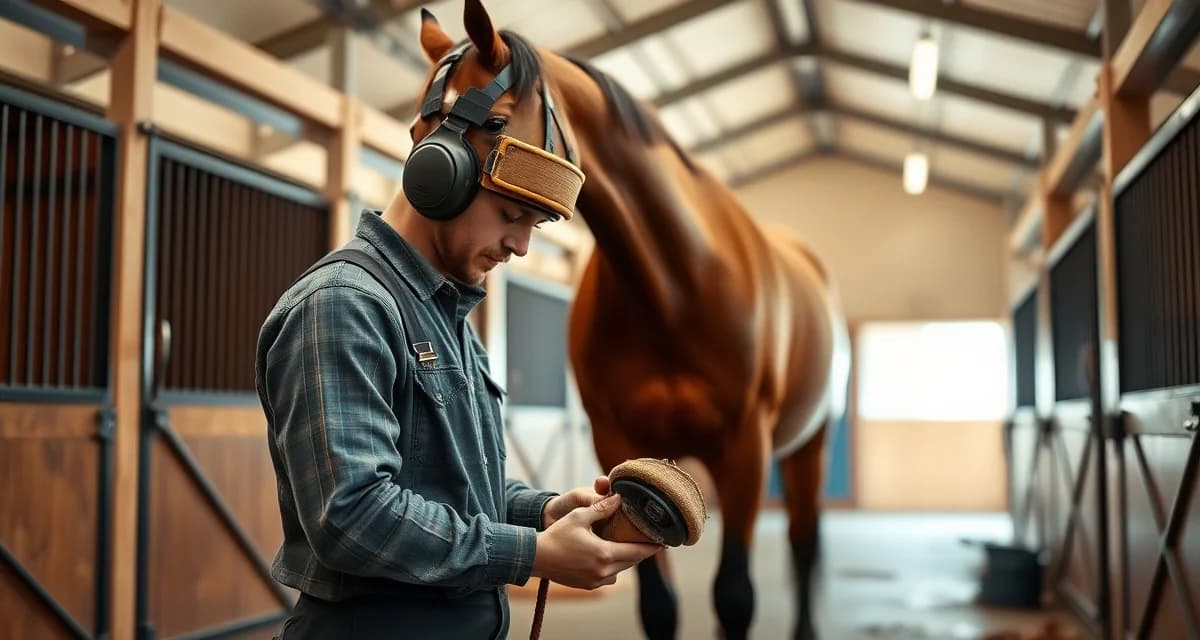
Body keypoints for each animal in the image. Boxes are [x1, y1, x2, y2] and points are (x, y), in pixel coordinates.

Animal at [408, 3, 849, 639]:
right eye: (414, 131)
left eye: (494, 121)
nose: (422, 194)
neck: (673, 291)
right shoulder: (619, 441)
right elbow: (658, 605)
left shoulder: (745, 450)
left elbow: (735, 596)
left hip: (808, 444)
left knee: (804, 543)